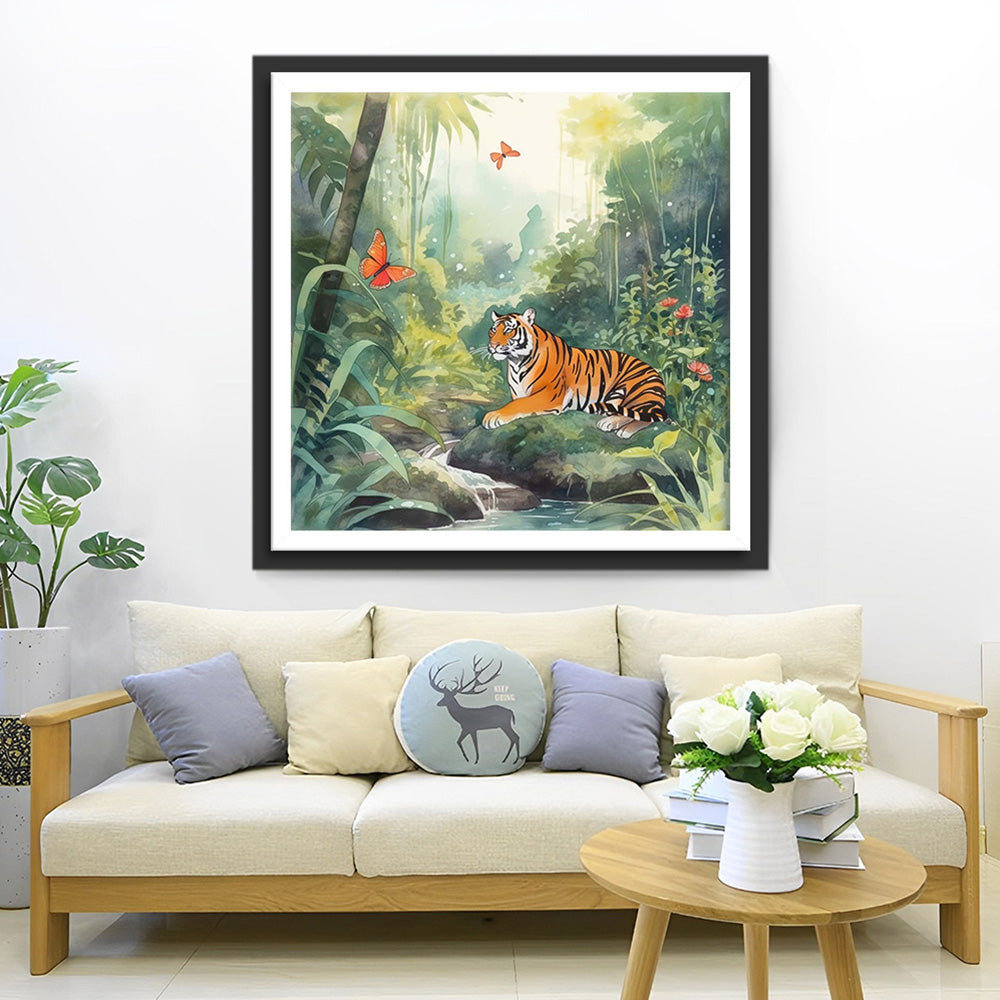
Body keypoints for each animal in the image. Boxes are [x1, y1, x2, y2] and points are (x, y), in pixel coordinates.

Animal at [482, 307, 670, 438]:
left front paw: (492, 416)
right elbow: (518, 403)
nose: (492, 346)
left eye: (508, 330)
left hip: (636, 390)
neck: (516, 362)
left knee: (644, 417)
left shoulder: (549, 395)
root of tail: (657, 375)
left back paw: (617, 427)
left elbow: (519, 405)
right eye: (493, 330)